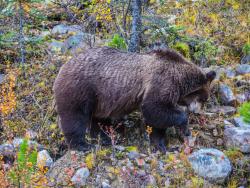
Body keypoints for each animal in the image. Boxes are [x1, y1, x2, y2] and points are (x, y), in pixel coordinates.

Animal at [53, 46, 216, 152]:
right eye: (203, 99)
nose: (197, 112)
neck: (179, 79)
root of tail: (63, 66)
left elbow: (157, 122)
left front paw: (161, 144)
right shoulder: (160, 82)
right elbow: (154, 109)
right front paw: (184, 127)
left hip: (100, 100)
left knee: (98, 120)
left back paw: (105, 138)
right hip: (81, 89)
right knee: (75, 116)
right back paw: (82, 145)